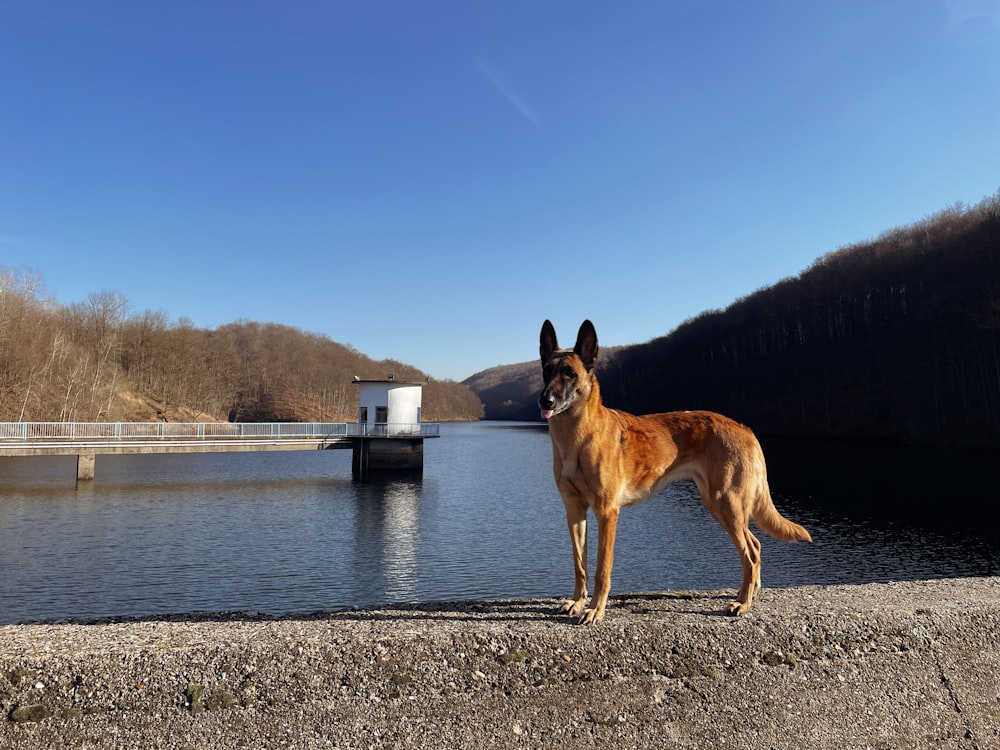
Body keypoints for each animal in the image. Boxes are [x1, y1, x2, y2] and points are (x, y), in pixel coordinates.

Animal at [540, 320, 812, 624]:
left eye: (570, 374)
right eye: (546, 370)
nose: (545, 401)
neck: (577, 437)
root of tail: (746, 429)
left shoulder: (607, 512)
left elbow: (602, 569)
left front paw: (596, 609)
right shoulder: (574, 511)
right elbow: (580, 566)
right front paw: (577, 601)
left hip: (726, 504)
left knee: (751, 553)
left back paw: (742, 604)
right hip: (719, 504)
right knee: (755, 546)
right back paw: (749, 594)